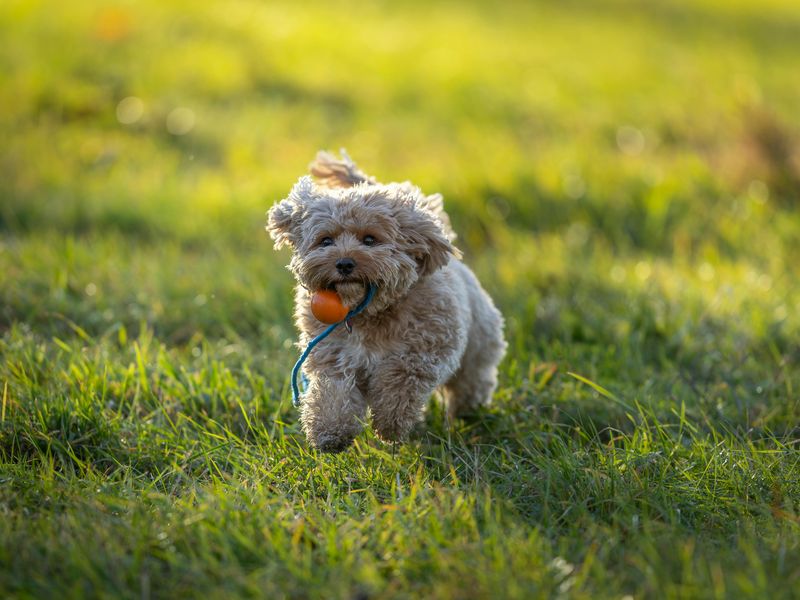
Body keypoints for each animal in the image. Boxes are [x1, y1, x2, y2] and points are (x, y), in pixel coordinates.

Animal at [268, 152, 506, 452]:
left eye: (370, 239)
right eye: (325, 240)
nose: (344, 263)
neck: (369, 313)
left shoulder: (420, 352)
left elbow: (399, 384)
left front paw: (390, 426)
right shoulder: (333, 356)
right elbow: (332, 394)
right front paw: (330, 433)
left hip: (478, 345)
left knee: (470, 381)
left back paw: (468, 413)